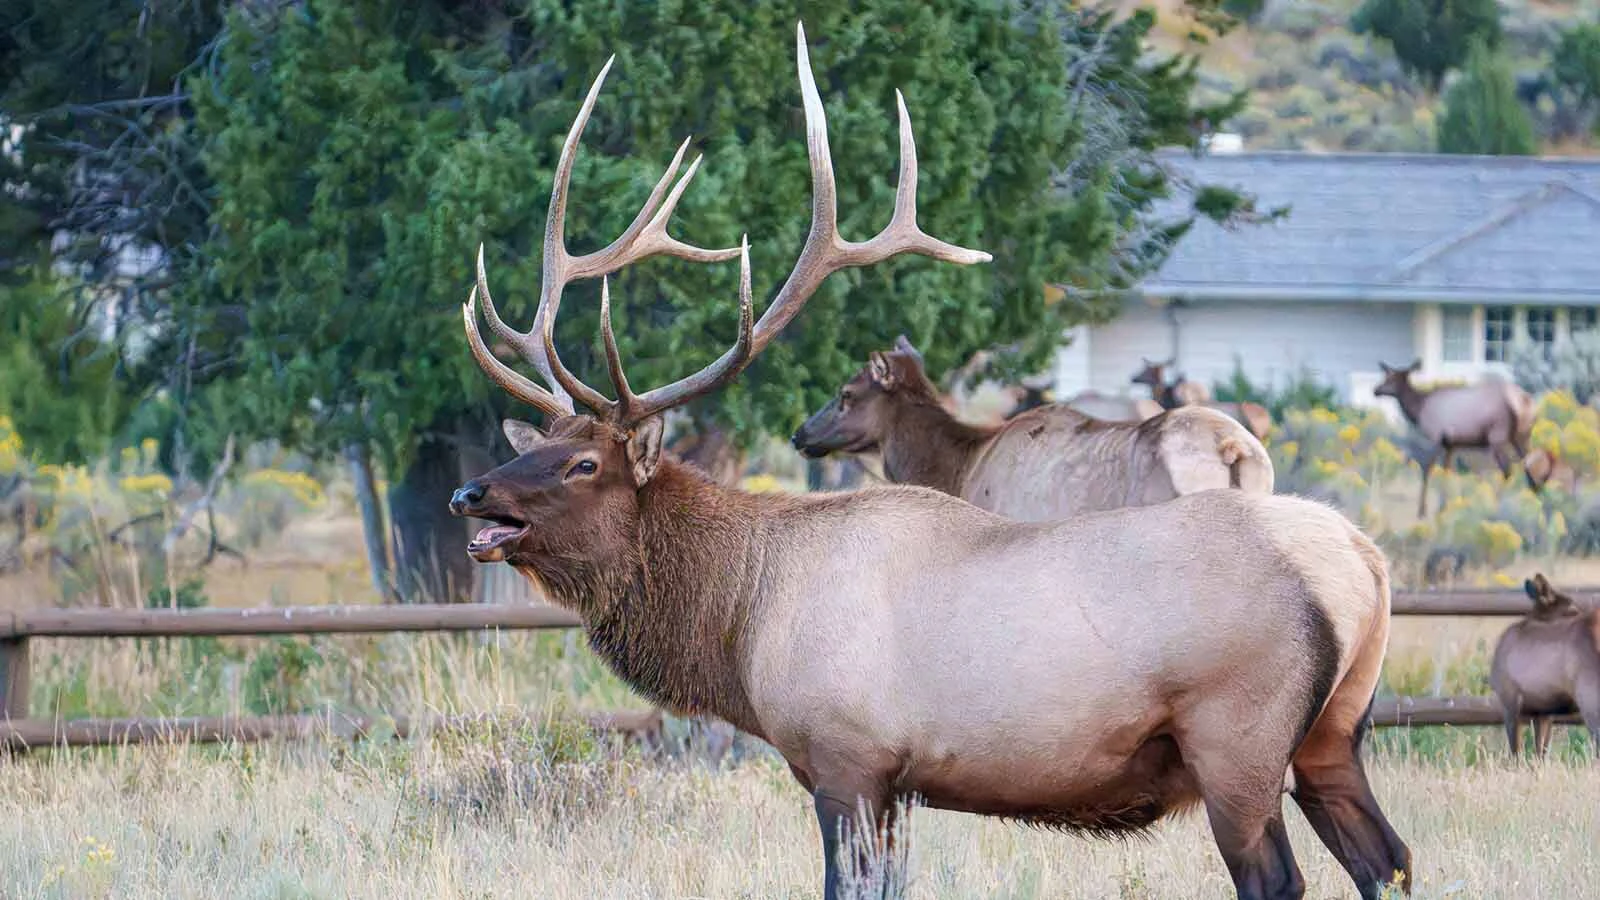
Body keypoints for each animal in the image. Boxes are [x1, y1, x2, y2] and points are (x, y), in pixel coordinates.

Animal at [1372, 360, 1537, 517]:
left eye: (1390, 379)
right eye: (1386, 377)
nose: (1375, 390)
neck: (1419, 409)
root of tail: (1526, 401)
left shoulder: (1435, 436)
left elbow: (1427, 469)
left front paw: (1422, 511)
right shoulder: (1450, 444)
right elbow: (1447, 471)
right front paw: (1442, 508)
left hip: (1497, 436)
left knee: (1507, 470)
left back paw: (1495, 506)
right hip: (1521, 436)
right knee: (1529, 463)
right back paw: (1534, 501)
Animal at [1489, 574, 1600, 758]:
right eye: (1572, 609)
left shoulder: (1509, 701)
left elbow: (1516, 751)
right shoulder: (1543, 711)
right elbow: (1541, 751)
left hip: (1589, 696)